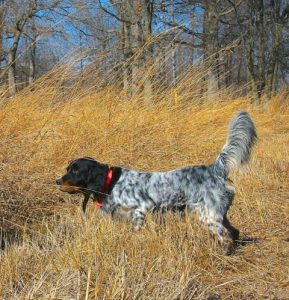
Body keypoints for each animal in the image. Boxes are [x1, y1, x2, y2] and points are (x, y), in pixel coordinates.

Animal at [55, 111, 255, 245]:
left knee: (224, 238)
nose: (57, 181)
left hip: (209, 215)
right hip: (218, 213)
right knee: (234, 232)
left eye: (75, 170)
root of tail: (215, 169)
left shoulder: (140, 209)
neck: (111, 182)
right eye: (68, 168)